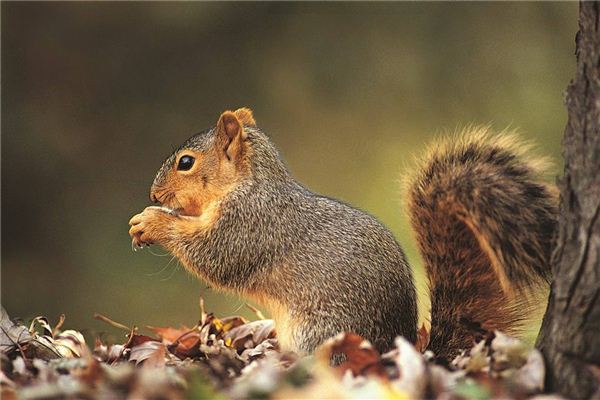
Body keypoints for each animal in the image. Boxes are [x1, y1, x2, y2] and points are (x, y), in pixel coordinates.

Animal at [129, 108, 560, 362]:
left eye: (186, 163)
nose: (153, 194)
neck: (250, 183)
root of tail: (394, 348)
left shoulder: (250, 224)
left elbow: (214, 256)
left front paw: (152, 222)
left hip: (319, 333)